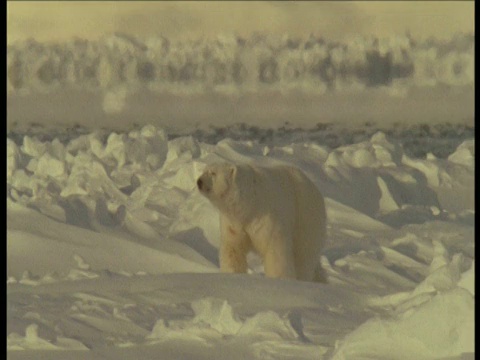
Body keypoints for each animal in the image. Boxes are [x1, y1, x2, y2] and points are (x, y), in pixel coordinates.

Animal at [195, 162, 326, 282]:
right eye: (204, 171)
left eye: (213, 173)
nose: (199, 181)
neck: (249, 204)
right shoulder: (234, 223)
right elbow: (233, 248)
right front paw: (231, 274)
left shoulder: (266, 218)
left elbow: (275, 252)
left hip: (305, 217)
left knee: (304, 256)